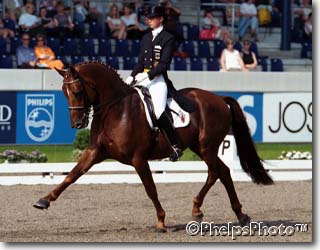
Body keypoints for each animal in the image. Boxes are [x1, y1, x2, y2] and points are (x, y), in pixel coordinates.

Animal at [33, 61, 272, 232]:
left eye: (77, 91)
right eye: (63, 92)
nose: (77, 123)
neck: (115, 110)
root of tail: (219, 99)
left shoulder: (138, 159)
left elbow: (150, 188)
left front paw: (160, 221)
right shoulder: (95, 152)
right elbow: (71, 175)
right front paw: (44, 201)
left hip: (207, 147)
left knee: (220, 172)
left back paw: (231, 214)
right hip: (200, 148)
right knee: (219, 172)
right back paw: (211, 212)